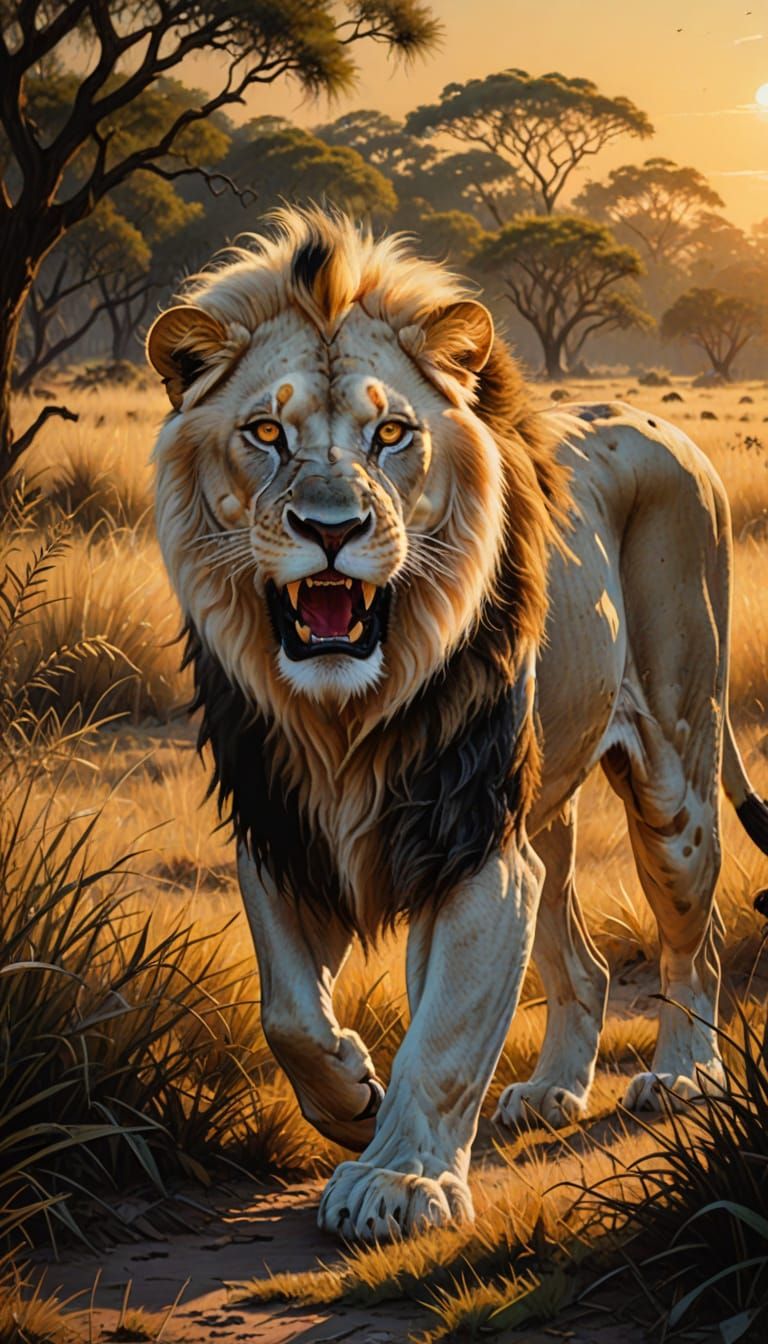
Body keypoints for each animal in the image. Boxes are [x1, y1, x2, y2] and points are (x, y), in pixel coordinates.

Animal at [146, 206, 768, 1244]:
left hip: (678, 773)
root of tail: (667, 429)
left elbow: (442, 1035)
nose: (331, 529)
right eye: (266, 432)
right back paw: (552, 1091)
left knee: (697, 936)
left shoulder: (476, 845)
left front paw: (398, 1180)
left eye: (392, 433)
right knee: (582, 965)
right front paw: (350, 1097)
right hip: (547, 815)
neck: (344, 716)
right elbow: (287, 1011)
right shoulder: (281, 829)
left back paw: (684, 1073)